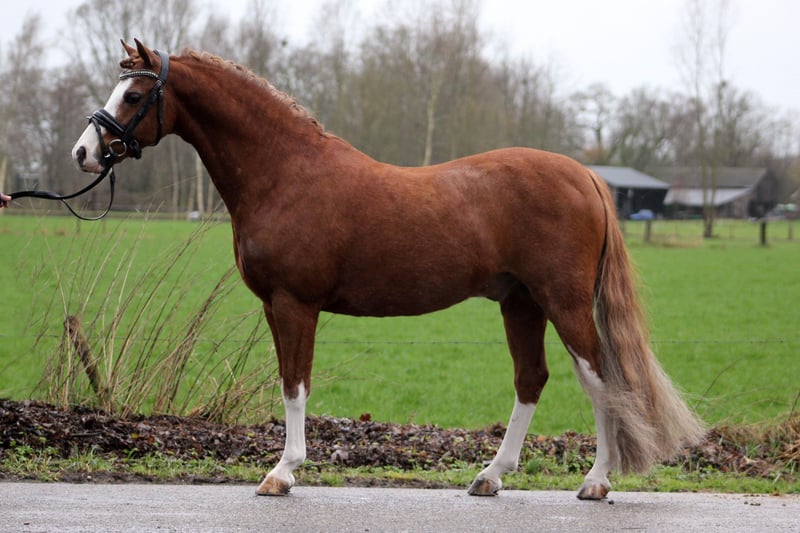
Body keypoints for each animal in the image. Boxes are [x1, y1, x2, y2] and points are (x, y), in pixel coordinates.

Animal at [72, 40, 705, 500]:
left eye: (134, 93)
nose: (84, 152)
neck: (285, 173)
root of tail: (587, 176)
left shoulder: (295, 304)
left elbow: (295, 385)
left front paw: (283, 473)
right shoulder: (276, 307)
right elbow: (288, 382)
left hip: (564, 301)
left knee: (600, 381)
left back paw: (595, 482)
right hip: (520, 302)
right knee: (532, 380)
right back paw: (490, 476)